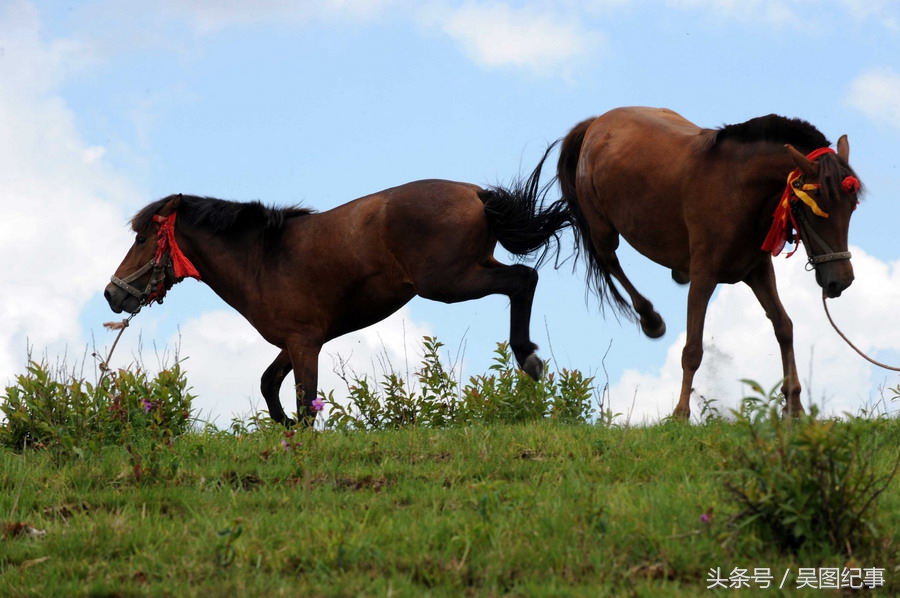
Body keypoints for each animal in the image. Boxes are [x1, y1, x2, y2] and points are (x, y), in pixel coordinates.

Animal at [105, 155, 568, 426]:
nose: (112, 295)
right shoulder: (297, 341)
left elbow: (304, 401)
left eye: (142, 238)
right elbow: (269, 385)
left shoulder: (304, 343)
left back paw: (528, 357)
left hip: (450, 282)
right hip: (473, 268)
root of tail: (476, 194)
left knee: (524, 279)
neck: (262, 258)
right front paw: (285, 427)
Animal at [560, 105, 860, 420]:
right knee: (610, 263)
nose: (841, 280)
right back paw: (650, 318)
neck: (737, 189)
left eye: (851, 206)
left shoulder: (758, 271)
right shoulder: (704, 275)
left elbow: (784, 327)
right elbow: (692, 349)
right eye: (816, 206)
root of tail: (597, 122)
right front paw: (680, 413)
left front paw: (795, 406)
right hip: (603, 230)